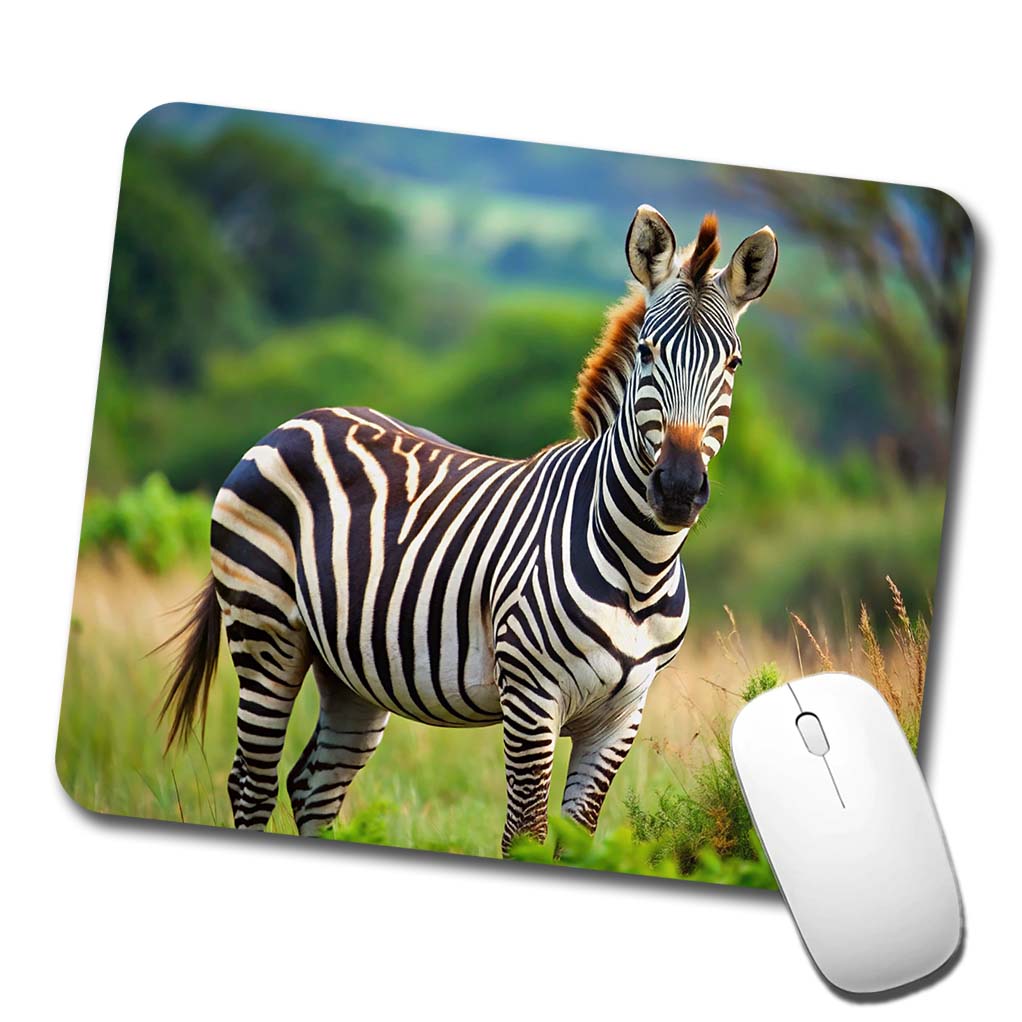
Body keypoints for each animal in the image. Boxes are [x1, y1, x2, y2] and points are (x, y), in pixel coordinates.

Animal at [160, 205, 778, 854]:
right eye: (647, 353)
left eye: (733, 363)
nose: (679, 488)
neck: (639, 566)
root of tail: (294, 422)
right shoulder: (531, 697)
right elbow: (524, 835)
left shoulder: (621, 715)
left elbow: (577, 838)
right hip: (265, 628)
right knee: (251, 782)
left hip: (348, 669)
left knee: (313, 785)